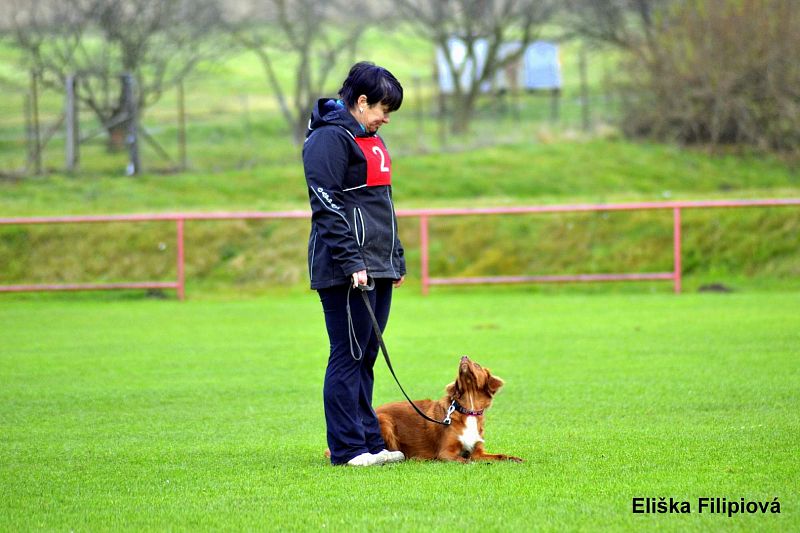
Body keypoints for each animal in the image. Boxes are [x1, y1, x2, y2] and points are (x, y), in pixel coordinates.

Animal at [376, 358, 524, 462]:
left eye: (477, 365)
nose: (463, 357)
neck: (469, 410)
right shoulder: (446, 452)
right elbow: (467, 460)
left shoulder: (478, 452)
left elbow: (499, 456)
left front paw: (514, 458)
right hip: (385, 421)